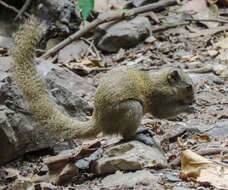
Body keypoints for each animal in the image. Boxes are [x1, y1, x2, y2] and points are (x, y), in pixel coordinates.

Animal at [10, 16, 196, 140]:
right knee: (126, 135)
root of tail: (99, 122)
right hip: (132, 108)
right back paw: (139, 134)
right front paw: (188, 108)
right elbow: (163, 113)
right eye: (188, 87)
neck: (162, 81)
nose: (194, 99)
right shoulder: (159, 97)